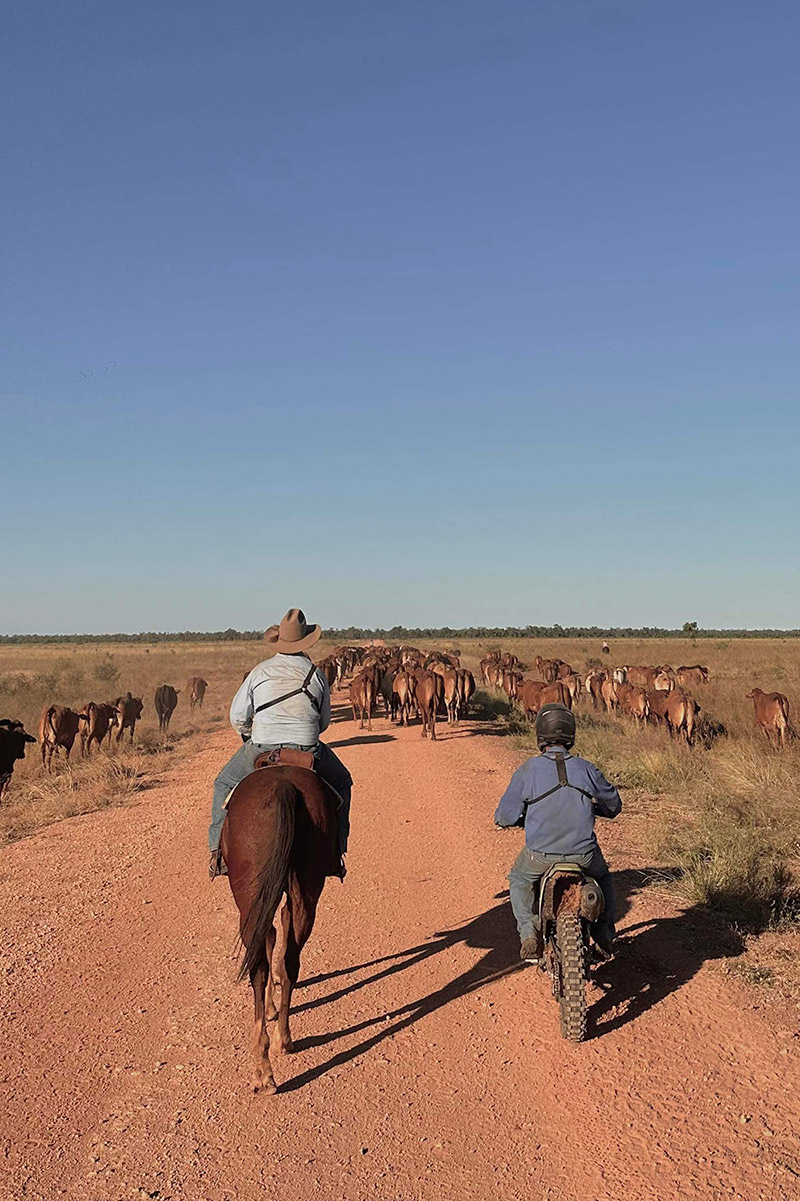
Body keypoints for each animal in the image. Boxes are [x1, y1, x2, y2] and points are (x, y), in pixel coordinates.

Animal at [219, 763, 338, 1095]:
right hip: (306, 889)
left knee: (258, 967)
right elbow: (277, 937)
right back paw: (282, 1042)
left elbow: (268, 939)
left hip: (249, 896)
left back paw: (264, 1067)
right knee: (290, 959)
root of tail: (284, 787)